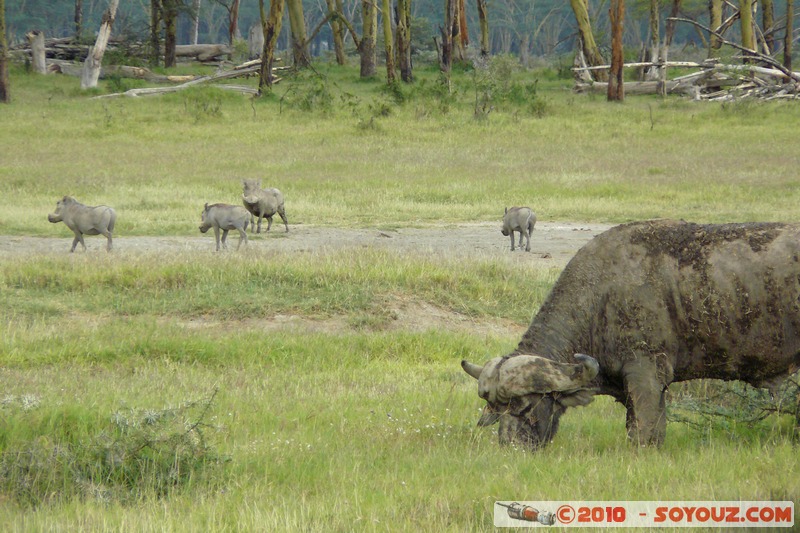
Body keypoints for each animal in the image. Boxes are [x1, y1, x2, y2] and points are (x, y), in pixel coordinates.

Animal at [462, 220, 800, 448]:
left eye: (527, 405)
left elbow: (644, 433)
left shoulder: (646, 374)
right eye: (496, 409)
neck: (599, 297)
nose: (512, 446)